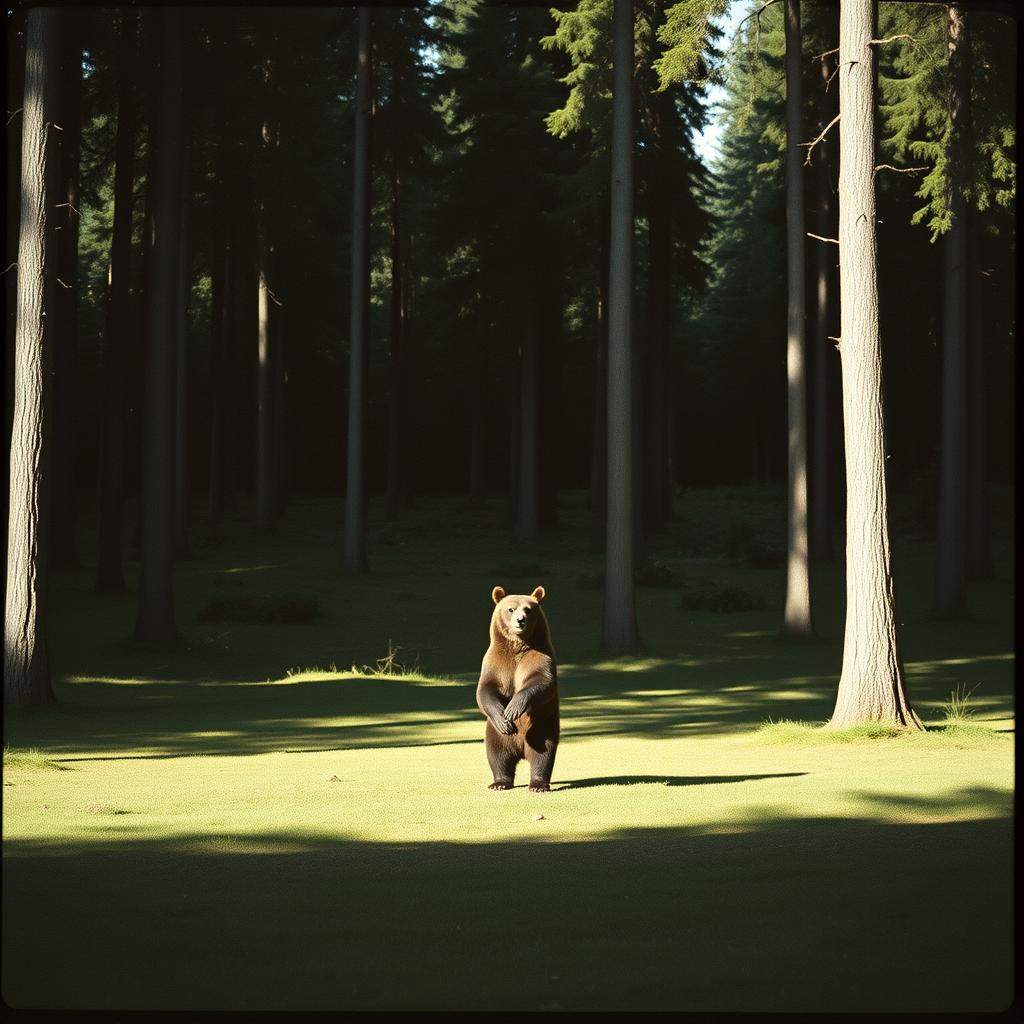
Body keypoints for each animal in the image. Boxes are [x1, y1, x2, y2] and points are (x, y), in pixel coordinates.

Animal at [475, 584, 559, 792]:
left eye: (528, 609)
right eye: (510, 609)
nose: (520, 620)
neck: (517, 646)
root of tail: (520, 750)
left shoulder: (540, 656)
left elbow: (542, 682)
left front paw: (513, 708)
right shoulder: (496, 662)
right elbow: (485, 689)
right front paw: (504, 717)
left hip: (541, 727)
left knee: (543, 755)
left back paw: (538, 784)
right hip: (495, 733)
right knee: (497, 754)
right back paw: (499, 782)